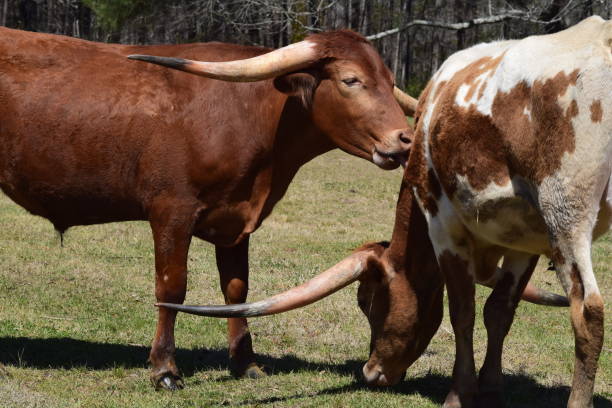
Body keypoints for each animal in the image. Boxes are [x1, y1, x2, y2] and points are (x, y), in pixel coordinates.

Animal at [1, 27, 416, 390]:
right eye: (350, 80)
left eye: (389, 79)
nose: (405, 139)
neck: (251, 115)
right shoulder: (171, 211)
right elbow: (172, 287)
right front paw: (164, 369)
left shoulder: (236, 219)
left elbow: (237, 291)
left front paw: (245, 363)